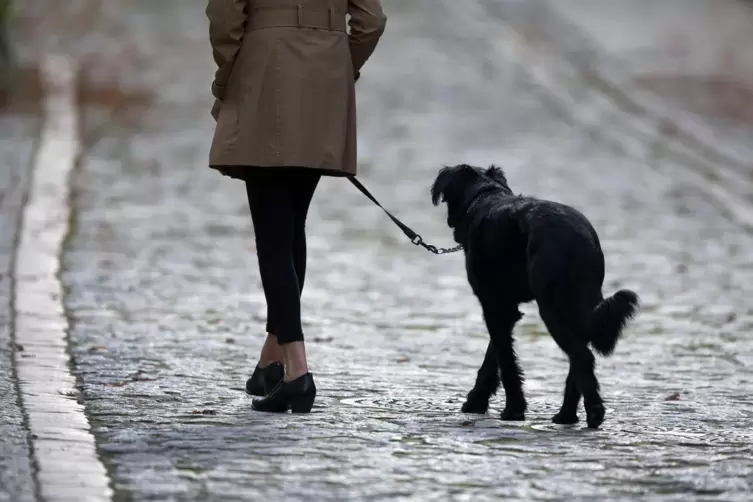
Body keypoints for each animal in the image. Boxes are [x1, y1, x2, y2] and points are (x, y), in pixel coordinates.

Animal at [432, 164, 636, 428]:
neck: (485, 195)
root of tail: (578, 236)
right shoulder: (506, 308)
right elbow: (495, 355)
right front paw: (478, 401)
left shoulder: (493, 305)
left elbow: (505, 360)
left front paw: (513, 409)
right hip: (578, 305)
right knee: (578, 358)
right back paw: (566, 415)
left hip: (552, 308)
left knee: (583, 356)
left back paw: (593, 412)